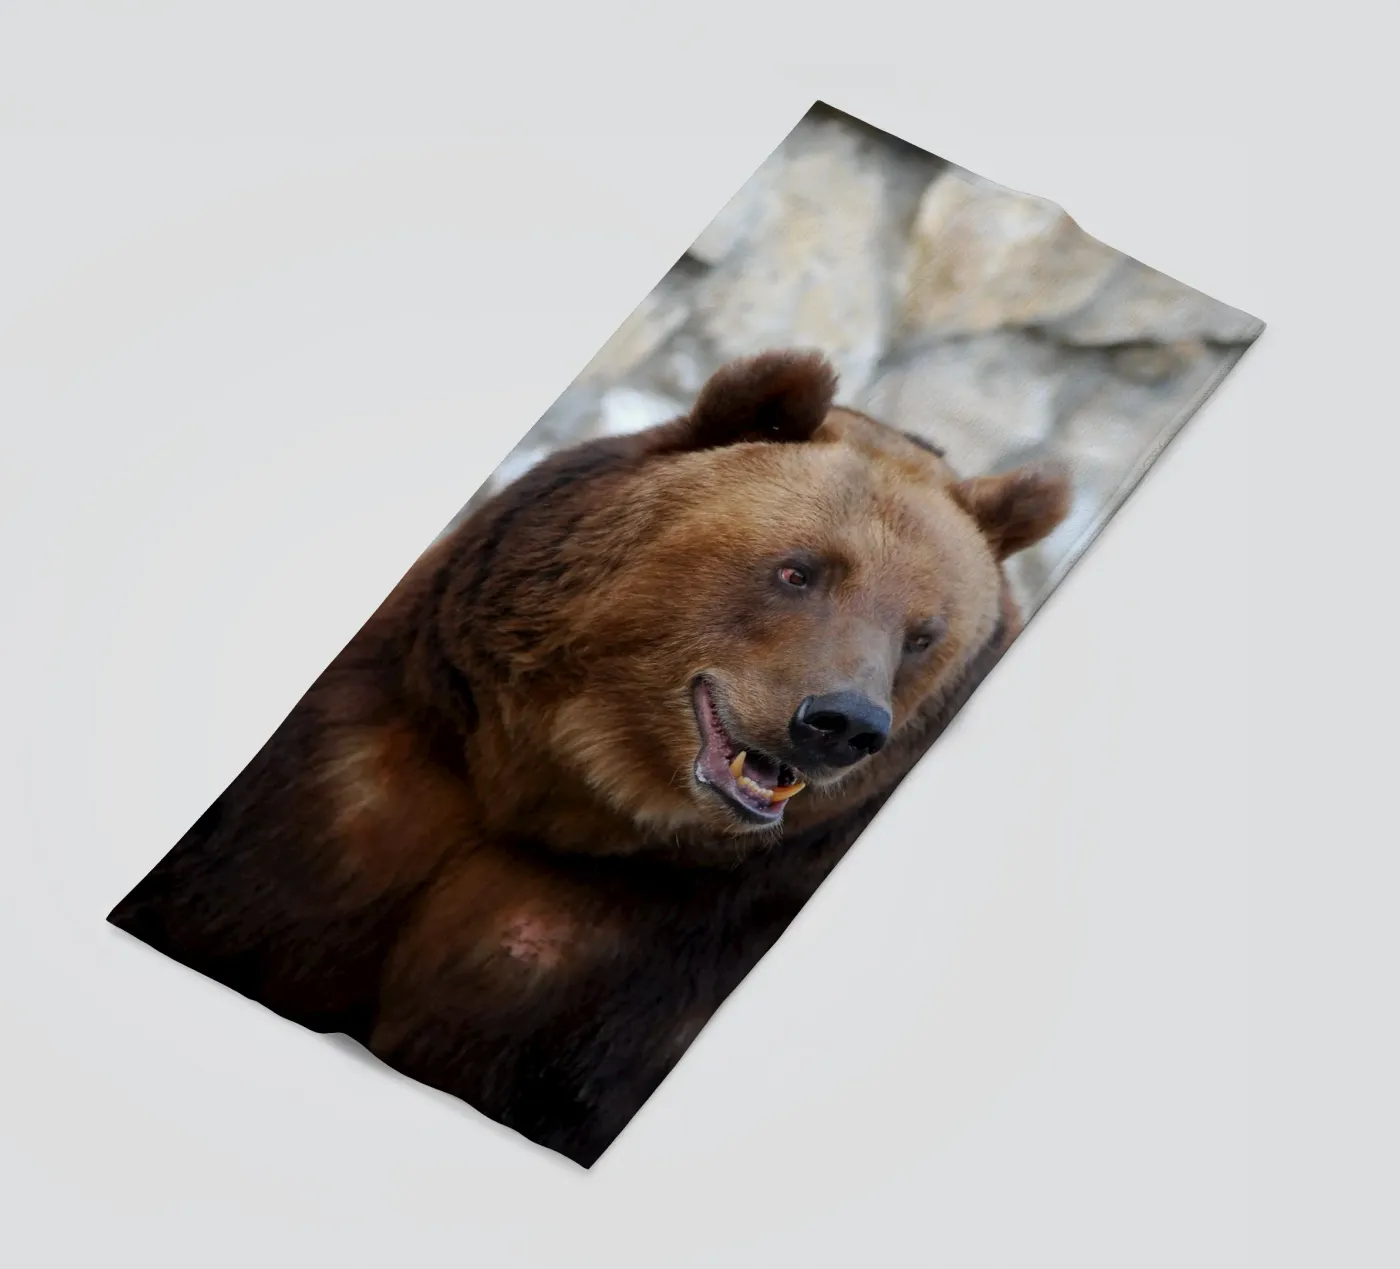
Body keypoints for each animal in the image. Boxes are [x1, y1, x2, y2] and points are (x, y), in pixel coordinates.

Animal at [108, 350, 1071, 1167]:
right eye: (800, 570)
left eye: (923, 633)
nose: (841, 721)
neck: (562, 792)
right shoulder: (362, 778)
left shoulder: (650, 951)